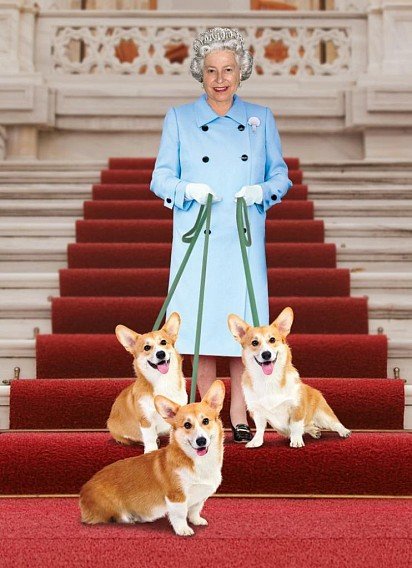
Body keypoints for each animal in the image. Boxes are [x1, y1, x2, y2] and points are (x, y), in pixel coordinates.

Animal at [80, 380, 225, 536]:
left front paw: (196, 520)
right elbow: (179, 515)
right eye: (187, 425)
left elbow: (195, 510)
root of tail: (83, 491)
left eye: (206, 421)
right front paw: (183, 530)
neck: (199, 463)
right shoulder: (176, 496)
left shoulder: (200, 497)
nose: (201, 441)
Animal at [108, 310, 188, 452]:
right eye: (146, 348)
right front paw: (151, 450)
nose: (160, 354)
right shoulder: (146, 419)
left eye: (163, 342)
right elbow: (149, 437)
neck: (163, 381)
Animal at [229, 306, 350, 448]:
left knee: (334, 423)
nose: (266, 354)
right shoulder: (257, 411)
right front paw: (256, 441)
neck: (268, 380)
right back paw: (314, 430)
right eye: (254, 342)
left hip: (323, 415)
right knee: (306, 426)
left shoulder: (296, 407)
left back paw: (344, 431)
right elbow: (260, 428)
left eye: (272, 340)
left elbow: (296, 425)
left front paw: (296, 441)